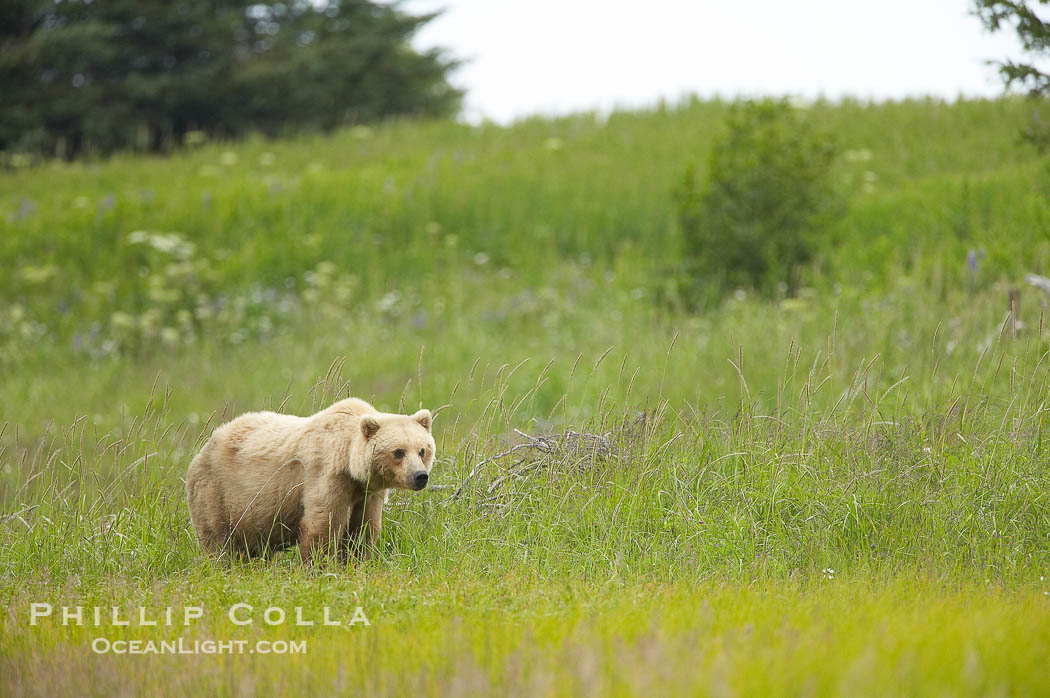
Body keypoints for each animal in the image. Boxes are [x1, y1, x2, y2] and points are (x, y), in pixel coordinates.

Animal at [185, 397, 435, 563]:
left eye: (422, 450)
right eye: (398, 451)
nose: (420, 476)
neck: (348, 460)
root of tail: (204, 447)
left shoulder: (366, 491)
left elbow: (363, 528)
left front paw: (357, 561)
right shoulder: (326, 474)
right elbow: (323, 524)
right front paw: (321, 567)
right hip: (218, 491)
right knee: (218, 539)